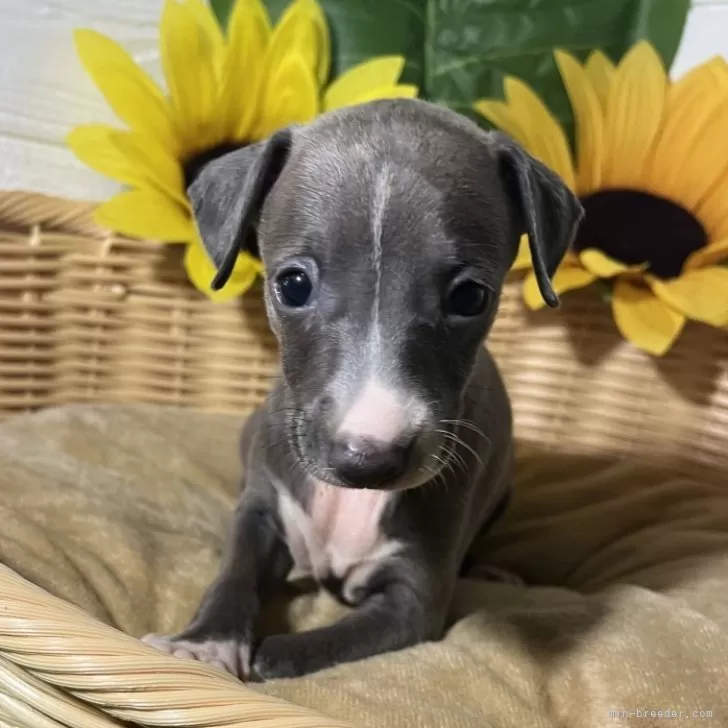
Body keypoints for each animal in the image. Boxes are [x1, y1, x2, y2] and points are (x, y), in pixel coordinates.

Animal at [144, 98, 584, 684]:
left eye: (470, 297)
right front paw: (203, 643)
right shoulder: (263, 509)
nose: (367, 458)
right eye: (292, 285)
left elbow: (316, 646)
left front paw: (274, 654)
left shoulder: (414, 597)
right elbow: (234, 569)